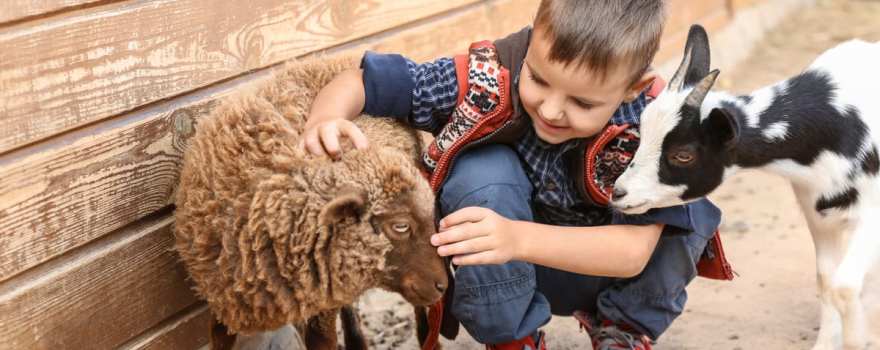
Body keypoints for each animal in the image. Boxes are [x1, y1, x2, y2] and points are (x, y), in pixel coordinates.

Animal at [612, 25, 880, 350]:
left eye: (683, 154)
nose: (619, 192)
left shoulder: (872, 214)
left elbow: (844, 286)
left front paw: (858, 339)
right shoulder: (818, 215)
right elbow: (827, 280)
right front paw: (828, 342)